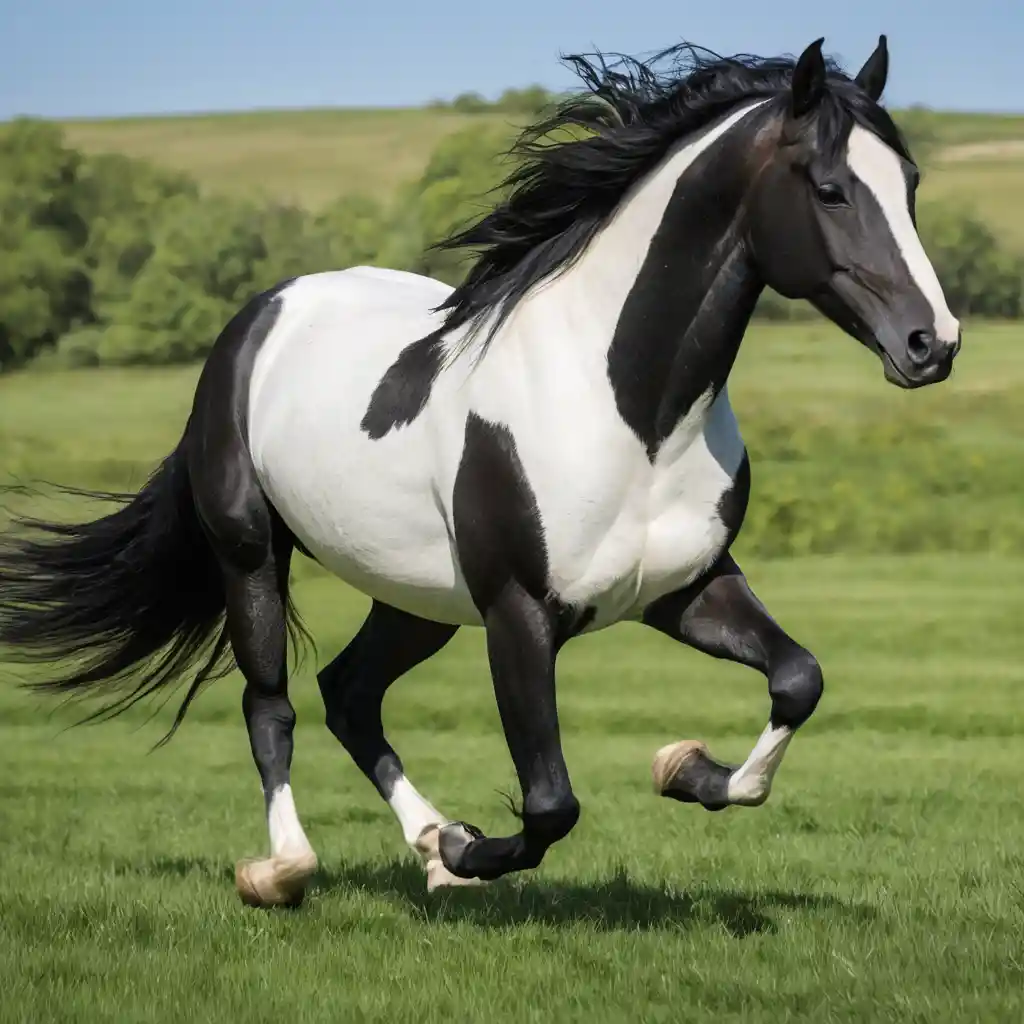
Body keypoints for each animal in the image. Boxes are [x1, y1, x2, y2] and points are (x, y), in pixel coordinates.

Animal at [0, 35, 961, 908]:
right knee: (272, 707)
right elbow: (550, 805)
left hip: (416, 595)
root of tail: (258, 316)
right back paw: (285, 871)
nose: (933, 343)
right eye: (831, 188)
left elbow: (798, 681)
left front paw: (681, 767)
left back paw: (426, 845)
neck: (632, 411)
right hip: (252, 556)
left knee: (349, 693)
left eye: (911, 185)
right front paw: (469, 848)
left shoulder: (683, 589)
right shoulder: (519, 613)